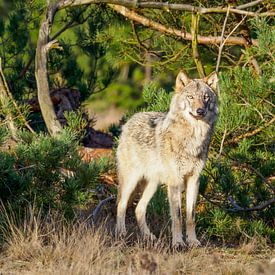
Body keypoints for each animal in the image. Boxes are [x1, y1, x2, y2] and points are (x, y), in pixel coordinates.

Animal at [115, 70, 219, 249]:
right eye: (190, 97)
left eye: (205, 97)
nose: (200, 111)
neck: (193, 138)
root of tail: (131, 119)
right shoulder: (175, 182)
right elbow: (177, 216)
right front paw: (178, 243)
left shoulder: (194, 180)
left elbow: (190, 216)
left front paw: (193, 241)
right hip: (131, 181)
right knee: (121, 205)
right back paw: (121, 233)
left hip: (152, 184)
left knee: (139, 209)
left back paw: (149, 237)